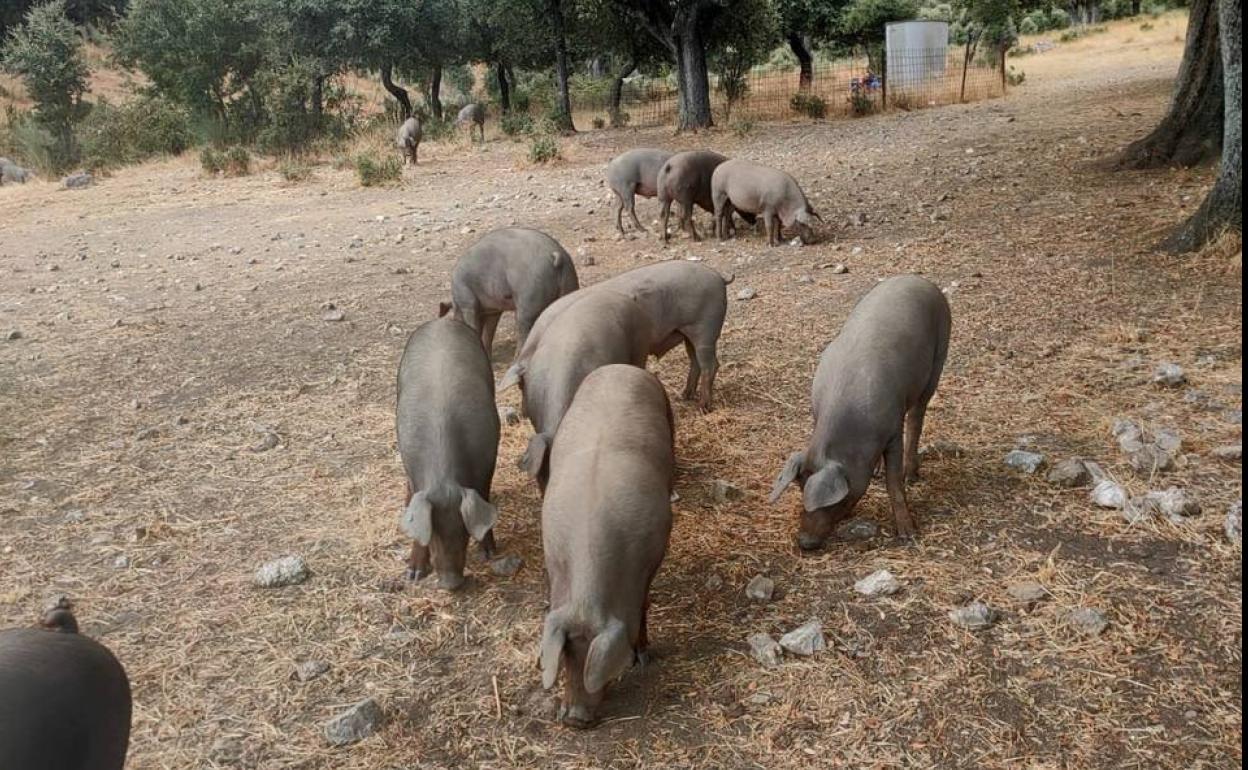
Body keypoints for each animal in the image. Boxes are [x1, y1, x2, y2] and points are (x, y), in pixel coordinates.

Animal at [396, 316, 501, 591]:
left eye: (464, 531)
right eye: (433, 533)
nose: (451, 583)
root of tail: (440, 321)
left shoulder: (488, 462)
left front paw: (490, 554)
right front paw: (413, 574)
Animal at [446, 227, 580, 364]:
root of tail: (555, 255)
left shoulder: (468, 302)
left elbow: (475, 327)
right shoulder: (493, 310)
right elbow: (489, 332)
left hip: (528, 295)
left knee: (524, 328)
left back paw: (515, 360)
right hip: (570, 284)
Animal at [538, 364, 674, 727]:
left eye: (595, 668)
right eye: (566, 658)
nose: (575, 718)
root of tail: (620, 367)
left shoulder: (648, 566)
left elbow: (643, 608)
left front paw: (643, 657)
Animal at [769, 275, 950, 547]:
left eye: (835, 502)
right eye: (801, 488)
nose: (804, 542)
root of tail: (917, 278)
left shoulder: (893, 429)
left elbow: (893, 482)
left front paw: (908, 535)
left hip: (939, 354)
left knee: (917, 418)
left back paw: (911, 476)